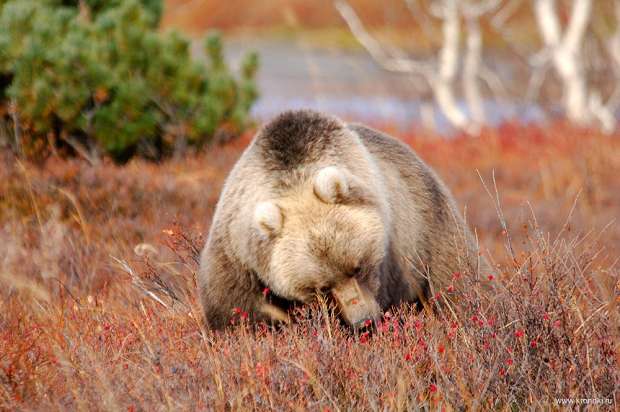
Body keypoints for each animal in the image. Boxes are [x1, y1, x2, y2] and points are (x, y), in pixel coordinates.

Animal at [199, 111, 484, 330]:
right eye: (321, 288)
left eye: (358, 267)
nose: (364, 322)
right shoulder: (239, 257)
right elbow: (234, 310)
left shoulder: (392, 256)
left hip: (430, 226)